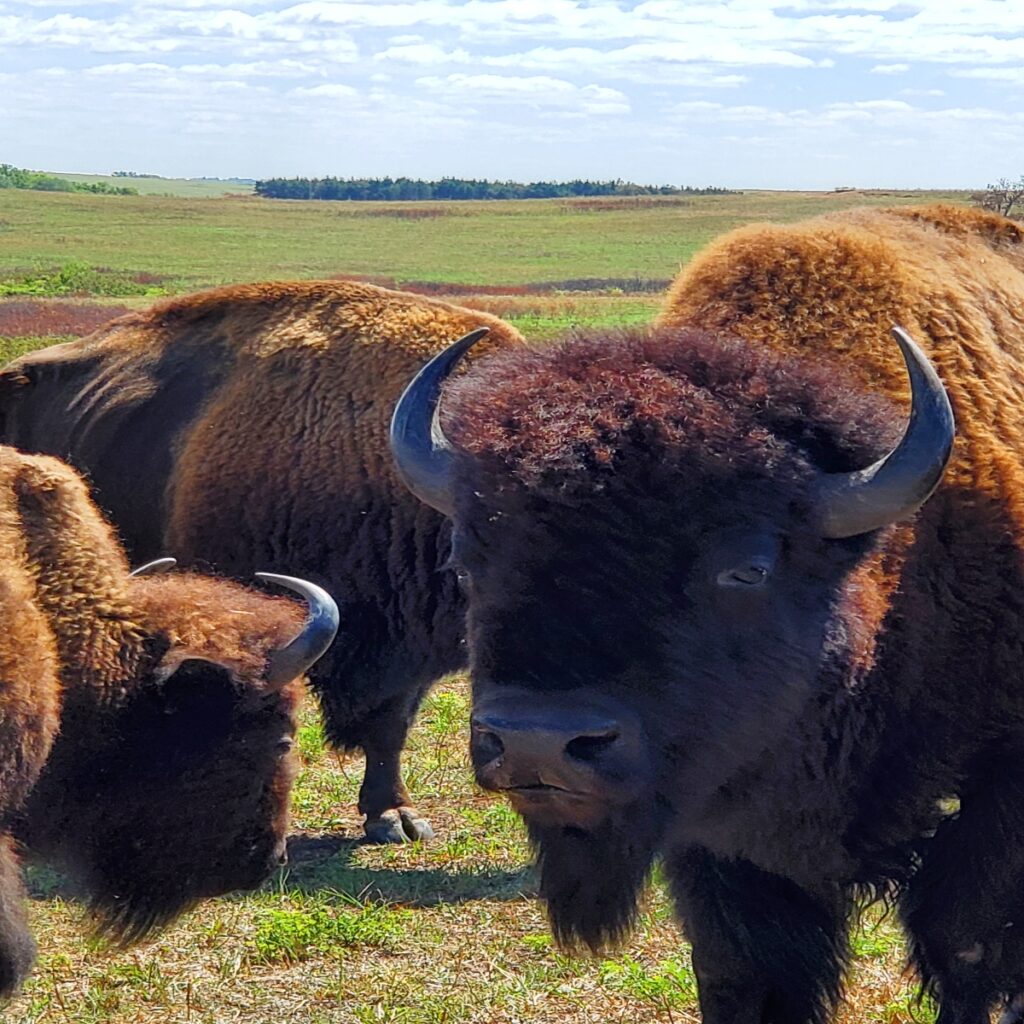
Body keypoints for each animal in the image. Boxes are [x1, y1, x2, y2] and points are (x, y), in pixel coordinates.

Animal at [393, 203, 1024, 1019]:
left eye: (746, 568)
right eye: (465, 563)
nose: (539, 744)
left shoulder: (998, 798)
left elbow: (968, 948)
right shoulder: (717, 836)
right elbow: (743, 966)